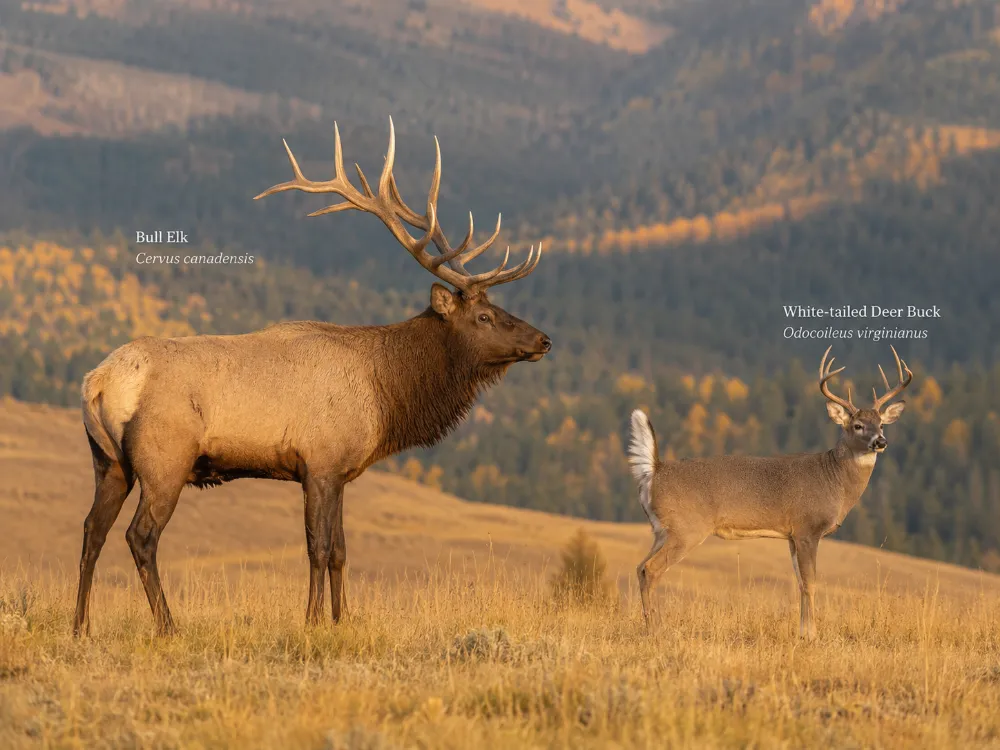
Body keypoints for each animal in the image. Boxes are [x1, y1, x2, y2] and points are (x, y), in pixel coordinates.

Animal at [72, 118, 551, 637]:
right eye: (484, 316)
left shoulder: (340, 472)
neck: (385, 392)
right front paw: (312, 621)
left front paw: (342, 621)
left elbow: (340, 551)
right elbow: (317, 549)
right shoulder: (318, 464)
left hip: (109, 461)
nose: (544, 340)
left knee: (91, 530)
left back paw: (79, 626)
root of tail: (98, 381)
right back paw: (168, 626)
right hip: (165, 459)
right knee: (140, 536)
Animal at [627, 346, 912, 640]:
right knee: (651, 569)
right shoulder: (807, 528)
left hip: (662, 530)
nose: (880, 441)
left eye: (881, 424)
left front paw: (802, 632)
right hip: (687, 527)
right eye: (857, 425)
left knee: (639, 567)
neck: (834, 479)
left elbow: (800, 582)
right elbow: (811, 582)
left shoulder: (792, 536)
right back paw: (656, 630)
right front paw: (812, 634)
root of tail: (655, 469)